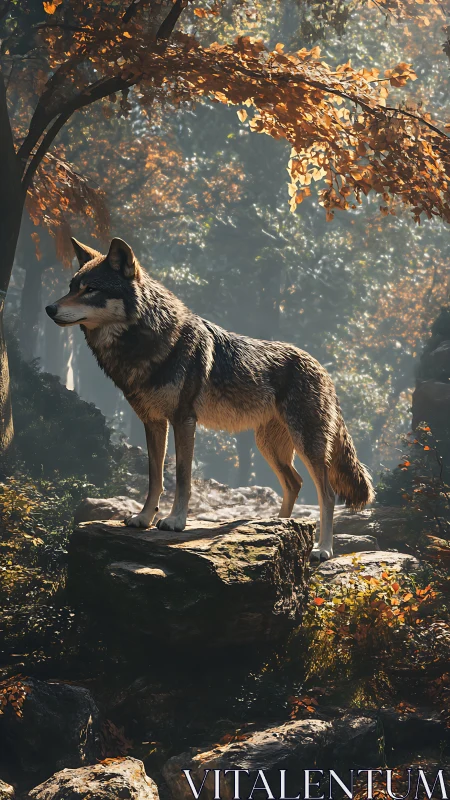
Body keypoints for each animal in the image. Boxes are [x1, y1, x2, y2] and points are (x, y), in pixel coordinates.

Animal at [46, 237, 374, 561]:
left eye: (91, 289)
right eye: (72, 286)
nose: (49, 308)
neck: (148, 343)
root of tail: (323, 369)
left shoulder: (184, 420)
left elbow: (182, 476)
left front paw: (175, 521)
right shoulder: (153, 423)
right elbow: (155, 477)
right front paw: (144, 518)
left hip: (306, 446)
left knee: (326, 494)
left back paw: (323, 549)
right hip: (268, 447)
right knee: (295, 483)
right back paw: (279, 527)